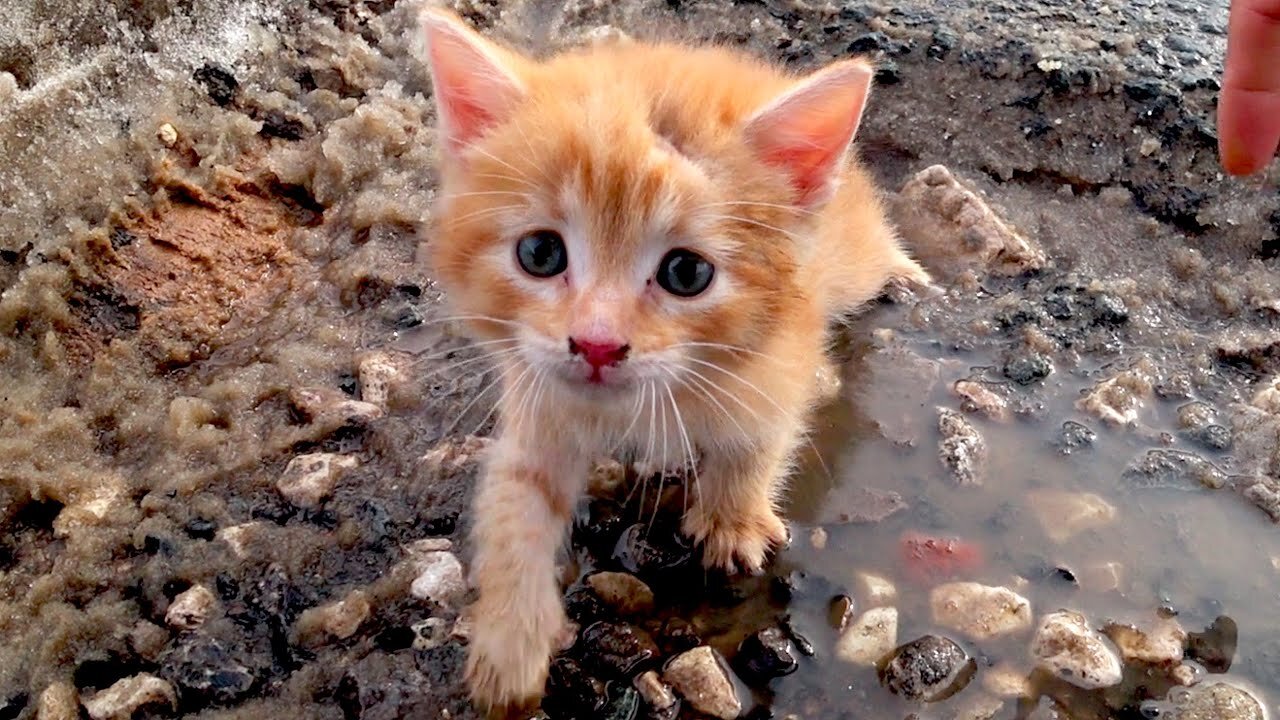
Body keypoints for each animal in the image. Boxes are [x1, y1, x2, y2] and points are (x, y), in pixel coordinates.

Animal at [419, 7, 931, 712]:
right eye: (540, 254)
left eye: (686, 273)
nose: (597, 344)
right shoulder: (537, 395)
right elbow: (515, 503)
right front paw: (510, 640)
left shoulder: (776, 362)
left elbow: (755, 439)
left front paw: (732, 520)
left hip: (849, 255)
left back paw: (906, 272)